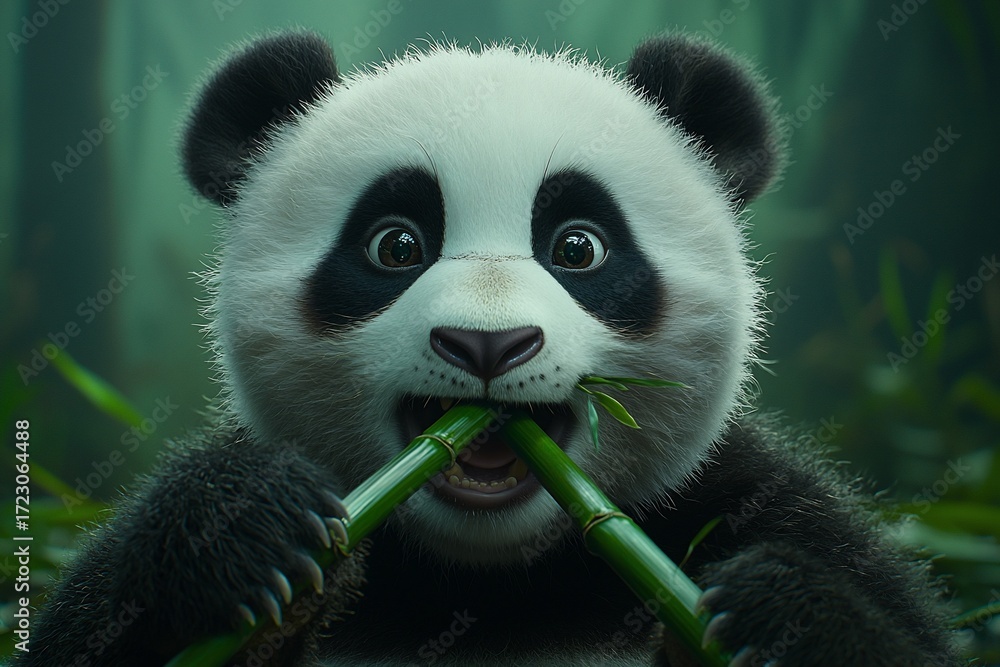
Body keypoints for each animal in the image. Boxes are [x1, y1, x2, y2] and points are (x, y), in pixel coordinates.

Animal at [22, 30, 960, 667]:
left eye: (578, 247)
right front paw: (247, 524)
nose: (487, 343)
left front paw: (789, 614)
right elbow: (92, 624)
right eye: (394, 245)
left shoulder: (738, 500)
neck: (488, 578)